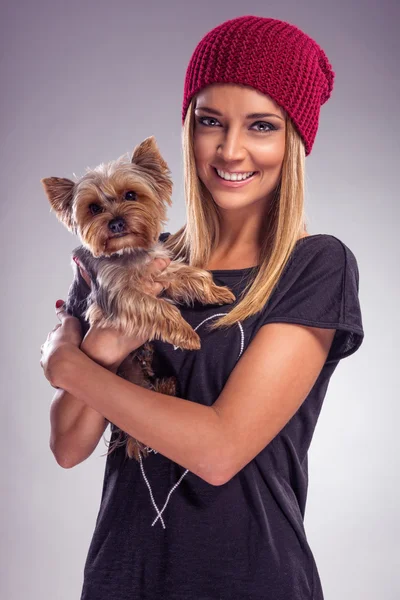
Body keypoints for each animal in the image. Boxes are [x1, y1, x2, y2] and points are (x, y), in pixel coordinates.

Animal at [41, 138, 234, 462]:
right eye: (94, 208)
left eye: (130, 195)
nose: (117, 222)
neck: (127, 253)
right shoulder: (116, 295)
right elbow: (158, 306)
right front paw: (187, 334)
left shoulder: (161, 268)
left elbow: (189, 274)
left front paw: (216, 291)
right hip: (123, 376)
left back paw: (166, 385)